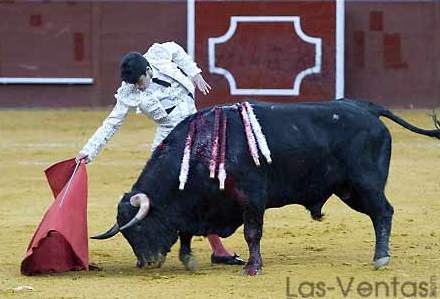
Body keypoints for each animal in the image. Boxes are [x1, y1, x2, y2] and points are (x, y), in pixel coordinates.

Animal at [91, 99, 438, 276]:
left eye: (138, 228)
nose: (147, 263)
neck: (202, 148)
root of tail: (366, 109)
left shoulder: (252, 198)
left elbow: (251, 233)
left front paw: (253, 267)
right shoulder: (199, 206)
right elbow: (187, 230)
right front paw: (188, 259)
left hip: (365, 183)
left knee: (383, 212)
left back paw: (381, 258)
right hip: (349, 190)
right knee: (380, 213)